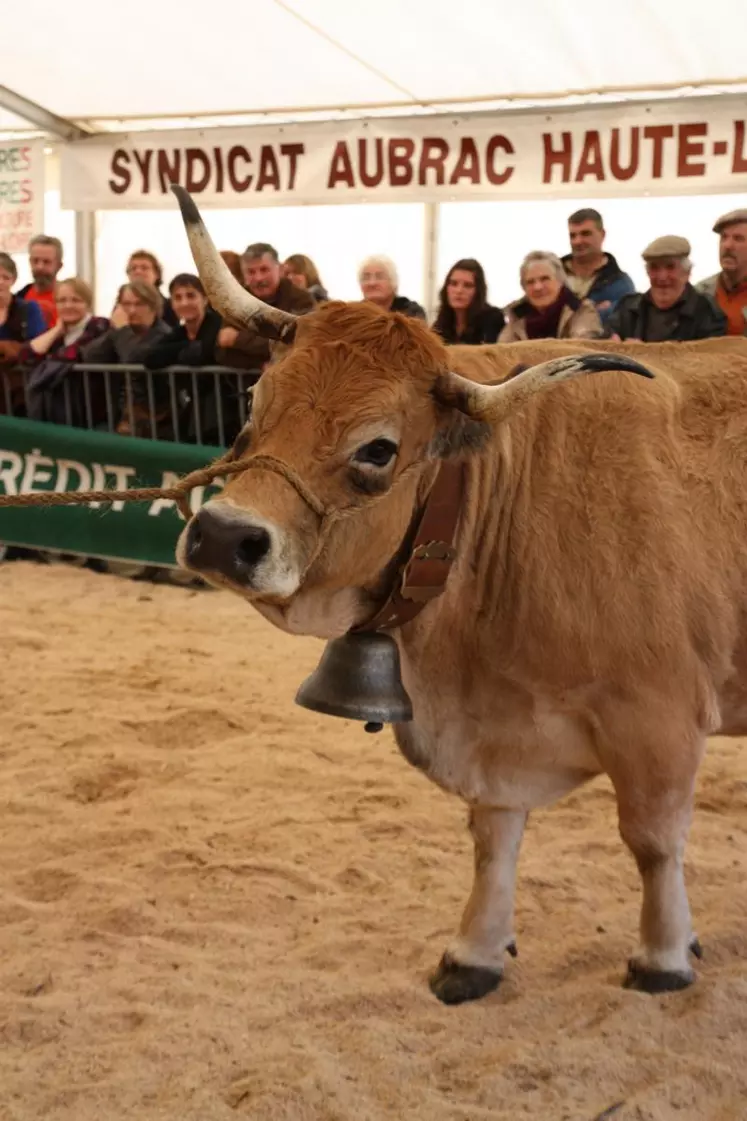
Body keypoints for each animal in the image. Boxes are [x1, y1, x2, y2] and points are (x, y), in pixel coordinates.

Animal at [168, 183, 744, 1008]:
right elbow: (492, 836)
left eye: (378, 448)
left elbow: (652, 840)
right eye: (254, 399)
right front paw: (475, 950)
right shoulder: (495, 732)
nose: (222, 535)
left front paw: (662, 954)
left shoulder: (659, 714)